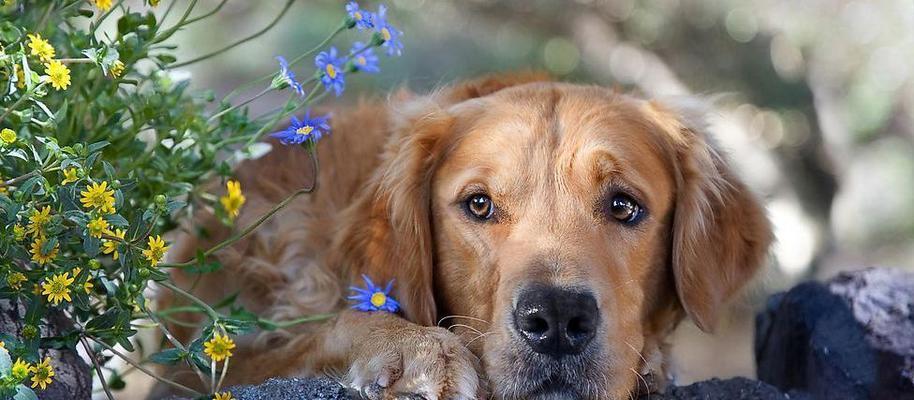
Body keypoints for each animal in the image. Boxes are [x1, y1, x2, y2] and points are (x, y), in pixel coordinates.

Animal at [157, 72, 768, 400]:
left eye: (623, 206)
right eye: (479, 204)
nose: (557, 321)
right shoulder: (201, 368)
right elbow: (333, 325)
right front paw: (413, 347)